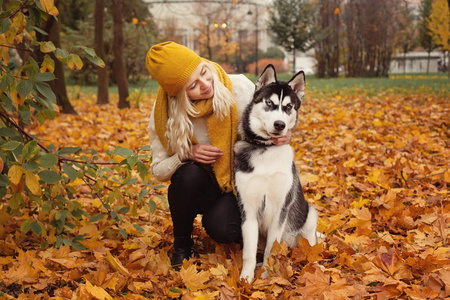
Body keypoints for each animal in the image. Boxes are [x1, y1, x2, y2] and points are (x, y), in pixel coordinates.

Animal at [234, 63, 318, 282]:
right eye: (269, 102)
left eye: (288, 107)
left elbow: (271, 249)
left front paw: (267, 276)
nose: (279, 125)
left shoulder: (281, 209)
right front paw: (246, 279)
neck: (266, 149)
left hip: (309, 214)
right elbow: (249, 252)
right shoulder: (248, 209)